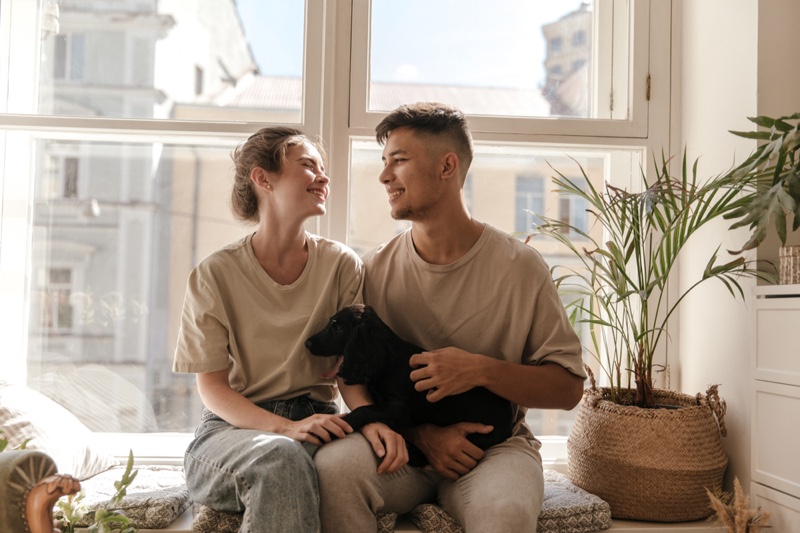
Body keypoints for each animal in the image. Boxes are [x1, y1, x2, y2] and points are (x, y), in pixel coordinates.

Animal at [306, 304, 512, 466]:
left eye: (337, 328)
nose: (307, 343)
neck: (386, 359)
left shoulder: (399, 407)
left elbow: (364, 410)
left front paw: (335, 425)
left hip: (480, 436)